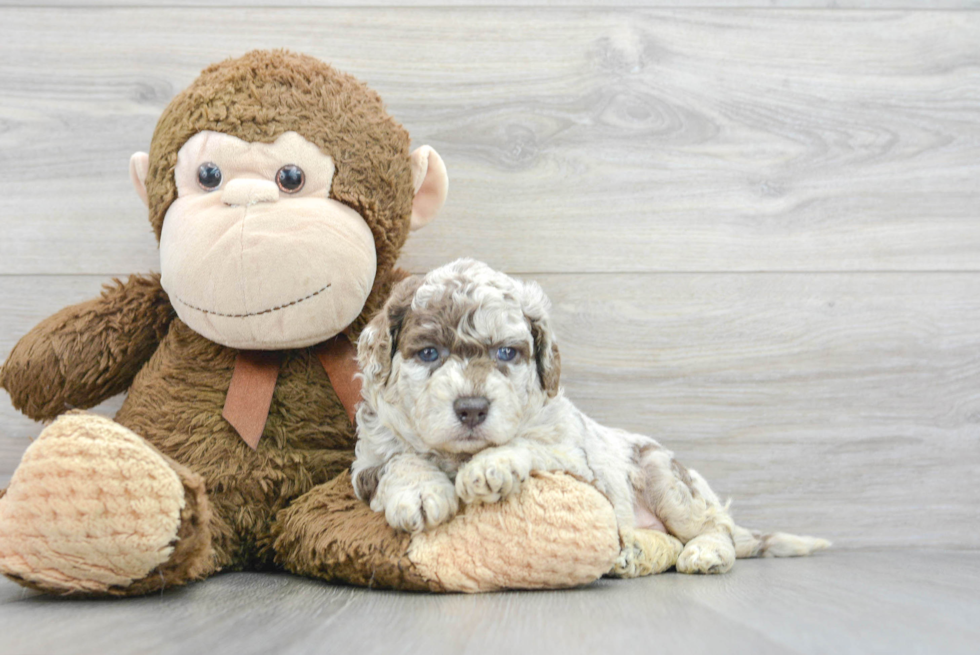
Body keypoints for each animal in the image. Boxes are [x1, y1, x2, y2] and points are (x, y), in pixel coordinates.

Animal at [352, 258, 828, 576]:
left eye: (506, 352)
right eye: (429, 353)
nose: (472, 407)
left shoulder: (576, 458)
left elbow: (530, 441)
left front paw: (489, 466)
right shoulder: (366, 461)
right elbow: (398, 459)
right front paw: (419, 492)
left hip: (667, 477)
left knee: (714, 525)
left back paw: (706, 552)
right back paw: (633, 554)